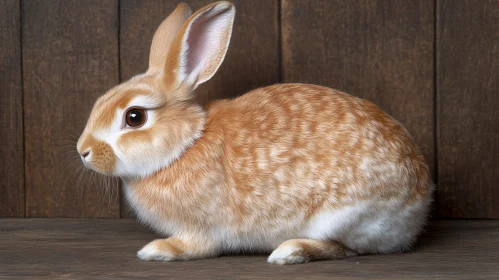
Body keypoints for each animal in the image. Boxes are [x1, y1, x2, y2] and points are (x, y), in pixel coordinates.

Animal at [77, 1, 434, 264]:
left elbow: (197, 247)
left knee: (348, 248)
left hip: (344, 217)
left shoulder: (201, 228)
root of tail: (420, 199)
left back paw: (288, 252)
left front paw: (158, 250)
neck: (186, 145)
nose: (83, 151)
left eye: (134, 117)